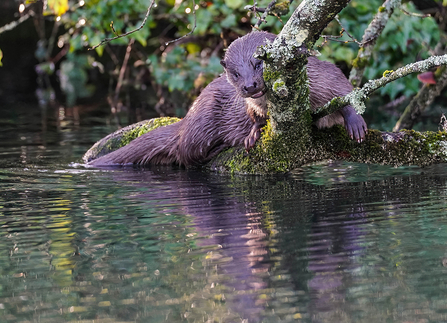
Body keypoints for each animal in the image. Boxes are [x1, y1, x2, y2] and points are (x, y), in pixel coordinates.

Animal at [87, 31, 368, 168]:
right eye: (235, 73)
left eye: (258, 63)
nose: (249, 86)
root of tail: (186, 120)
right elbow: (254, 118)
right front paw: (253, 134)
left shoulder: (328, 75)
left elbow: (344, 91)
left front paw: (354, 121)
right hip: (201, 126)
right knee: (187, 155)